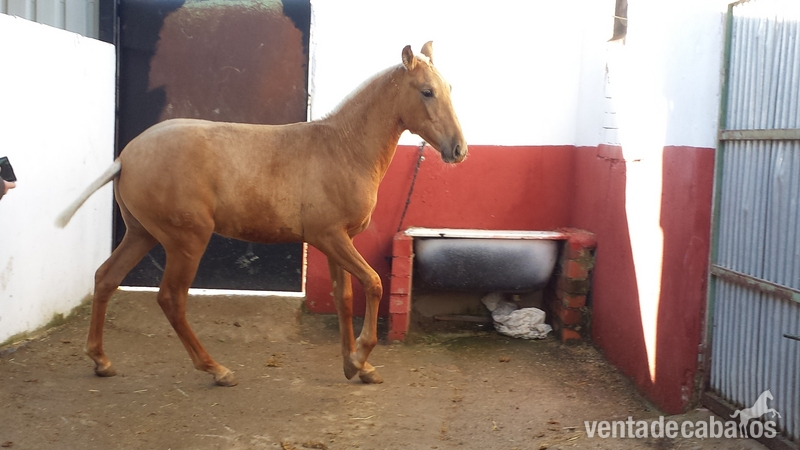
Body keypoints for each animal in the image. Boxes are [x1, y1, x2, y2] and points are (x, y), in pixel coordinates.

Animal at [56, 42, 467, 387]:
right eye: (426, 91)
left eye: (449, 87)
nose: (459, 150)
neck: (343, 148)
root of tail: (125, 157)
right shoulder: (329, 237)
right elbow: (374, 283)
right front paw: (360, 357)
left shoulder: (339, 242)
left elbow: (344, 297)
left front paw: (357, 367)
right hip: (186, 242)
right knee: (171, 298)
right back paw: (217, 369)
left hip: (141, 234)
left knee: (106, 278)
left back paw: (101, 361)